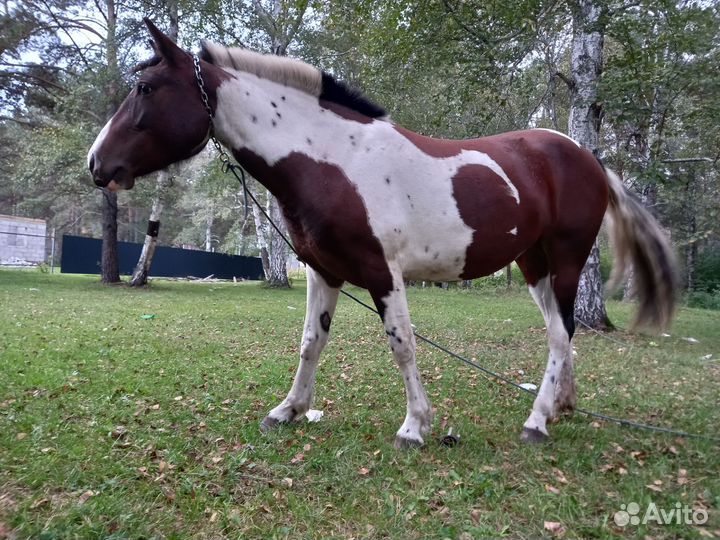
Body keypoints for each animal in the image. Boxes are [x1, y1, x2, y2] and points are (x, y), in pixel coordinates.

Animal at [88, 19, 678, 448]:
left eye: (145, 87)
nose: (98, 165)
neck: (334, 161)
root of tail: (588, 159)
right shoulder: (322, 272)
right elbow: (311, 342)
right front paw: (289, 410)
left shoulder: (383, 272)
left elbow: (402, 344)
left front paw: (415, 427)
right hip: (533, 262)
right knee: (562, 331)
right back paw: (561, 406)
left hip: (568, 258)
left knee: (561, 333)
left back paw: (537, 421)